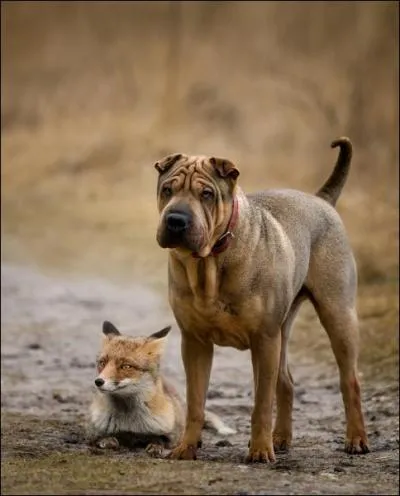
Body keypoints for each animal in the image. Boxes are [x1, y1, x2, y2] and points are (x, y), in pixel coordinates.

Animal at [84, 322, 234, 458]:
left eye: (126, 366)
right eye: (102, 363)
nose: (98, 381)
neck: (130, 421)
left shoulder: (171, 436)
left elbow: (159, 439)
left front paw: (155, 447)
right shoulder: (94, 433)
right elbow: (106, 438)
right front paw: (109, 441)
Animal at [152, 138, 368, 464]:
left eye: (206, 195)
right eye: (167, 189)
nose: (176, 220)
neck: (210, 263)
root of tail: (322, 201)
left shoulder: (264, 339)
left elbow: (262, 403)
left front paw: (260, 450)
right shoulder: (195, 342)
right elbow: (195, 402)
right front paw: (186, 447)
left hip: (337, 314)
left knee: (349, 380)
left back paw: (355, 439)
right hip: (283, 330)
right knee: (286, 382)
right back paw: (281, 439)